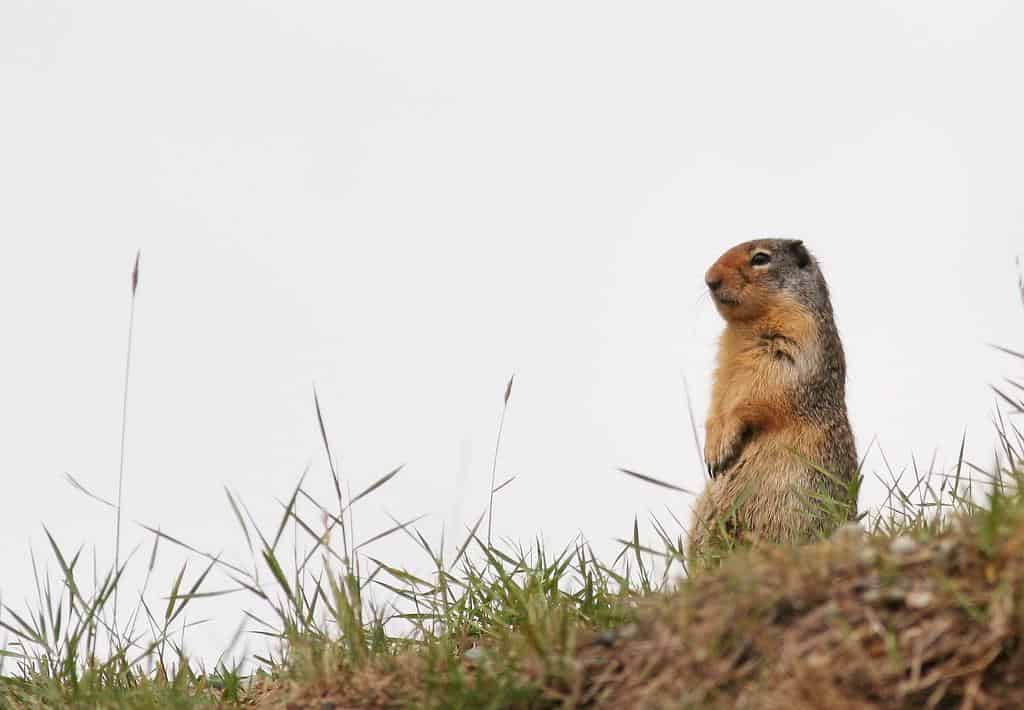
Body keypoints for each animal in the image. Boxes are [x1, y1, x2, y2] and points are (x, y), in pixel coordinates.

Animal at [692, 240, 860, 557]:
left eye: (760, 258)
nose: (709, 279)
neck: (745, 328)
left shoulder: (794, 344)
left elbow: (761, 395)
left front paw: (723, 445)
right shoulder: (723, 366)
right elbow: (717, 400)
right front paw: (712, 447)